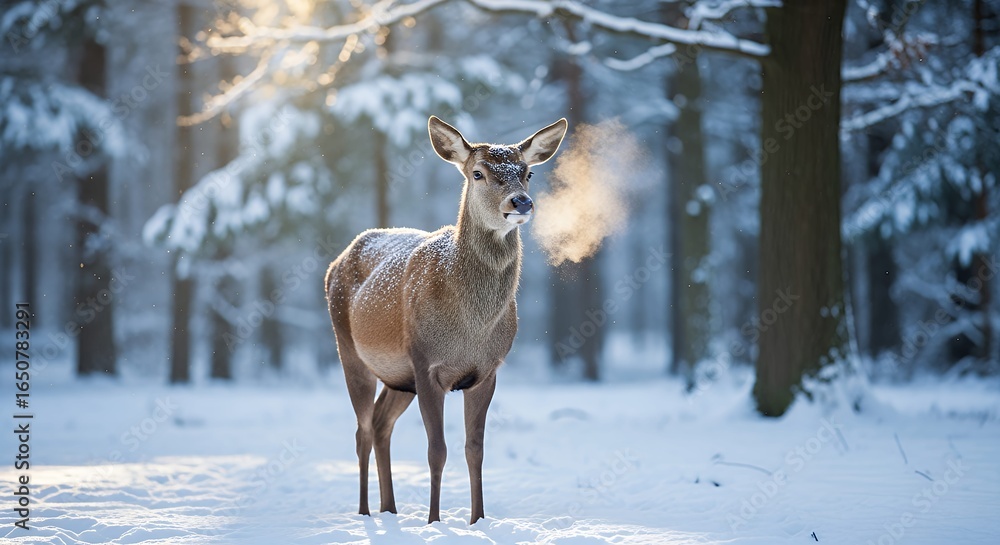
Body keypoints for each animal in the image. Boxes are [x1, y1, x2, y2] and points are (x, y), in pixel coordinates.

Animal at [325, 116, 567, 525]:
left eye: (528, 172)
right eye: (478, 173)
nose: (521, 201)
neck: (470, 329)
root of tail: (334, 263)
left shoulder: (487, 370)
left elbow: (475, 449)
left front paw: (477, 520)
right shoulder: (426, 362)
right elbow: (436, 450)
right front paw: (433, 521)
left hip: (398, 378)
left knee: (381, 425)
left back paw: (389, 509)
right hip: (350, 349)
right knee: (362, 430)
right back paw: (365, 513)